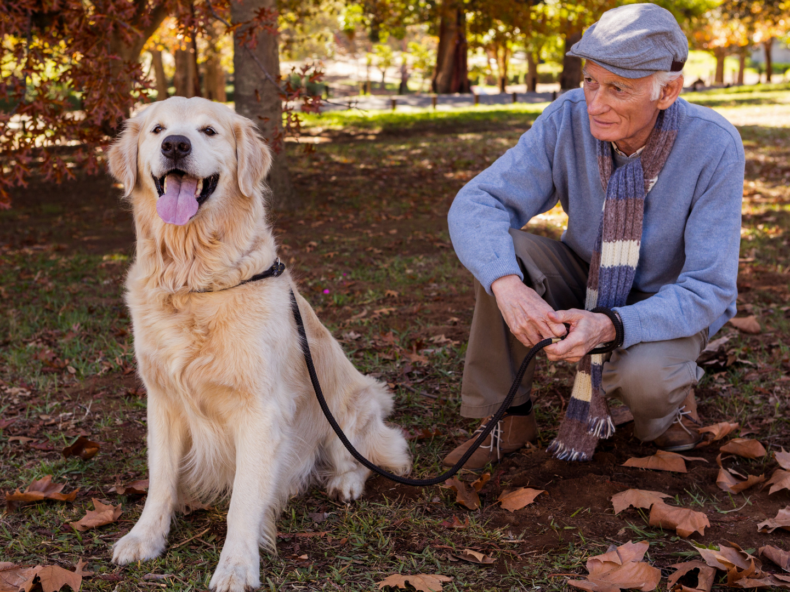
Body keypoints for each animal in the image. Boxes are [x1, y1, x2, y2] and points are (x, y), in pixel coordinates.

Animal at [107, 98, 412, 592]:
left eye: (208, 131)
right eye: (157, 130)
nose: (176, 145)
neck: (194, 280)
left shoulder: (260, 411)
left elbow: (244, 502)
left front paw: (236, 566)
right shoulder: (163, 400)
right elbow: (161, 480)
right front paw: (145, 536)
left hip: (348, 405)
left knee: (367, 453)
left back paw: (346, 482)